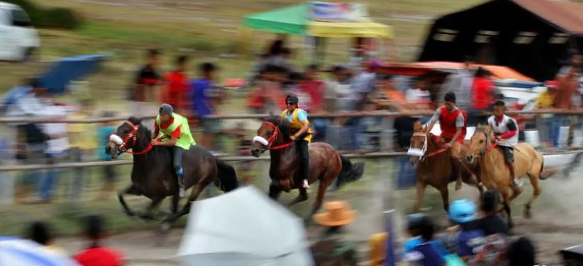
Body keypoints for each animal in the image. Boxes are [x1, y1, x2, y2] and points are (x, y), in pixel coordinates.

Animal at [107, 116, 240, 229]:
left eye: (126, 130)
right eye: (118, 128)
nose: (109, 148)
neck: (149, 165)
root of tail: (212, 157)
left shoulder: (158, 196)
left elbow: (146, 214)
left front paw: (152, 216)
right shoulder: (138, 188)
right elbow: (121, 195)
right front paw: (130, 212)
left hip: (200, 184)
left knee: (186, 207)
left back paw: (166, 222)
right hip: (180, 192)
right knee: (177, 208)